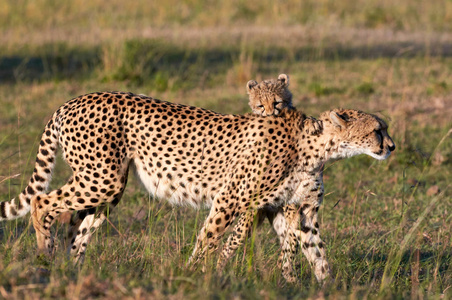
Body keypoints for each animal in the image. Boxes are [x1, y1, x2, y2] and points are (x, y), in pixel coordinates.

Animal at [0, 92, 396, 284]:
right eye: (377, 129)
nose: (391, 146)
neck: (317, 147)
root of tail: (71, 101)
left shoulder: (295, 210)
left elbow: (314, 253)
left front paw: (324, 288)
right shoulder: (234, 200)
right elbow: (214, 242)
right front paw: (196, 275)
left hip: (107, 187)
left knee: (77, 226)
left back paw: (75, 270)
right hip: (102, 178)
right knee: (42, 202)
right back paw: (45, 253)